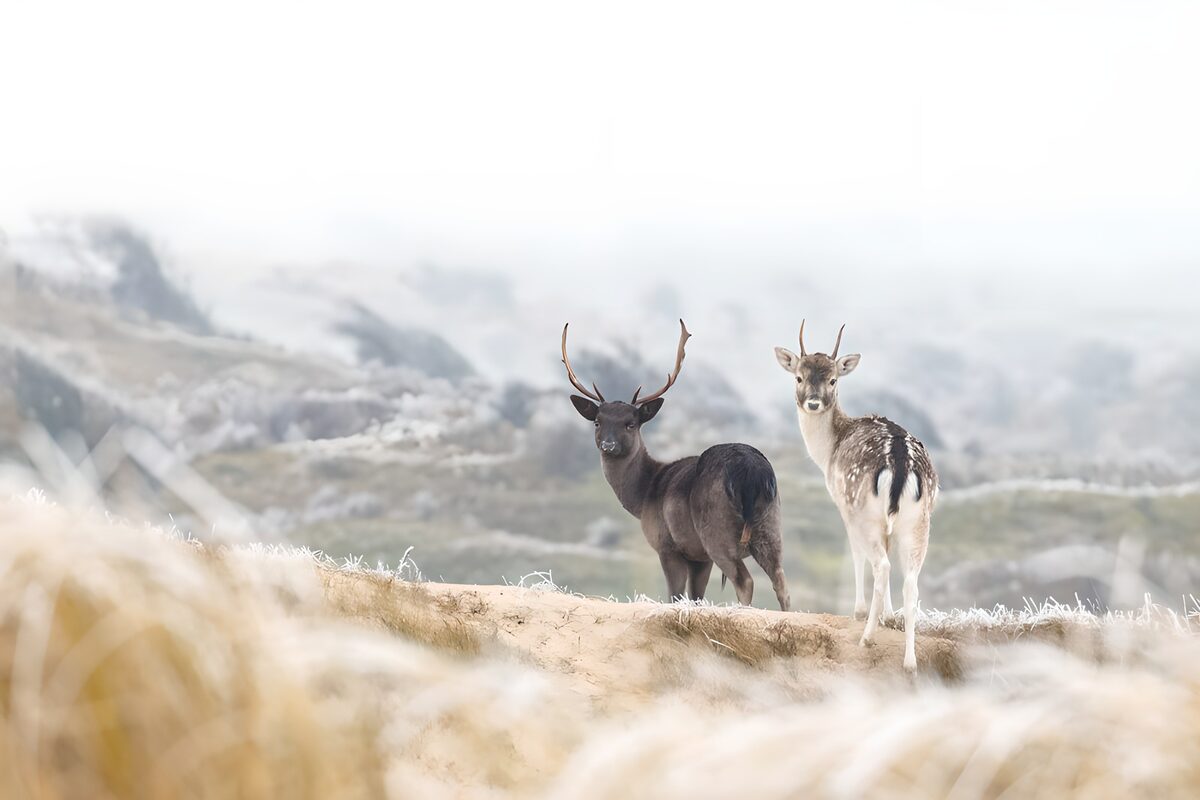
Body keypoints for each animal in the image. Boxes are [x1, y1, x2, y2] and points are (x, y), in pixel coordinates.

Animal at [562, 320, 790, 610]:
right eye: (597, 422)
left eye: (631, 423)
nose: (608, 445)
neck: (644, 495)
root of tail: (752, 474)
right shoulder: (699, 557)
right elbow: (696, 597)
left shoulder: (667, 545)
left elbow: (675, 595)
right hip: (770, 526)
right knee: (781, 581)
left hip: (716, 530)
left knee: (745, 580)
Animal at [774, 321, 937, 671]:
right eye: (799, 377)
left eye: (833, 379)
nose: (813, 403)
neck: (828, 452)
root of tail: (901, 465)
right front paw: (889, 616)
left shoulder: (843, 504)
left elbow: (855, 554)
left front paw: (861, 612)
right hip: (918, 520)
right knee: (910, 580)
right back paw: (910, 662)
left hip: (865, 511)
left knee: (882, 564)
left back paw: (867, 637)